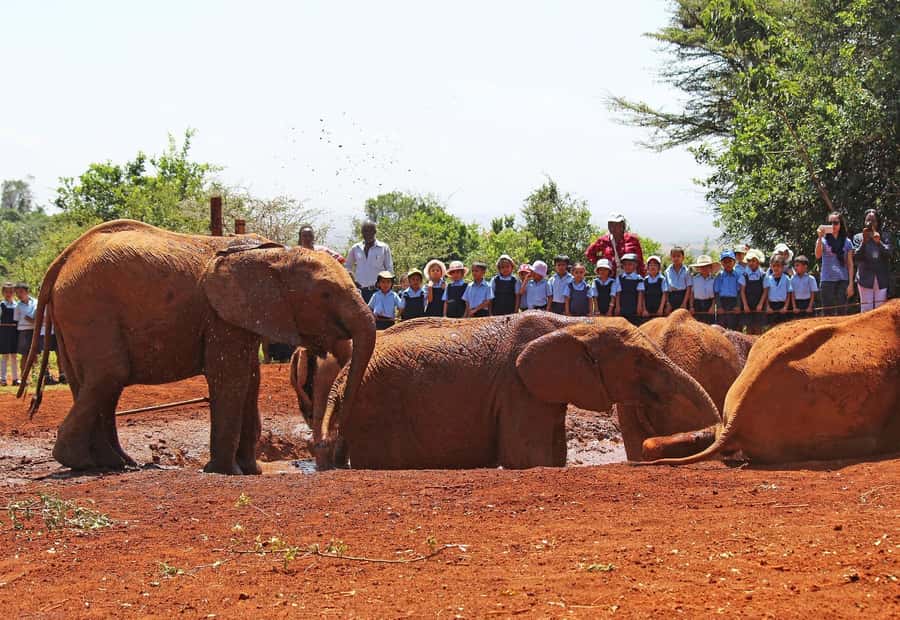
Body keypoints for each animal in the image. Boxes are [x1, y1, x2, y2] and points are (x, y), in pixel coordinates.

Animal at [19, 220, 375, 475]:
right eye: (326, 294)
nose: (333, 453)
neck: (274, 254)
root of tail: (62, 260)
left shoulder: (240, 315)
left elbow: (251, 379)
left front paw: (250, 470)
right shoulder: (222, 314)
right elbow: (231, 378)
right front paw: (224, 471)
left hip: (74, 316)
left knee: (96, 385)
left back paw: (116, 463)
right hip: (88, 307)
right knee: (109, 375)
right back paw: (82, 463)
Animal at [312, 312, 720, 469]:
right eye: (639, 360)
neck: (576, 323)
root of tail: (340, 380)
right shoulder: (517, 388)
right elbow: (528, 457)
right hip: (376, 408)